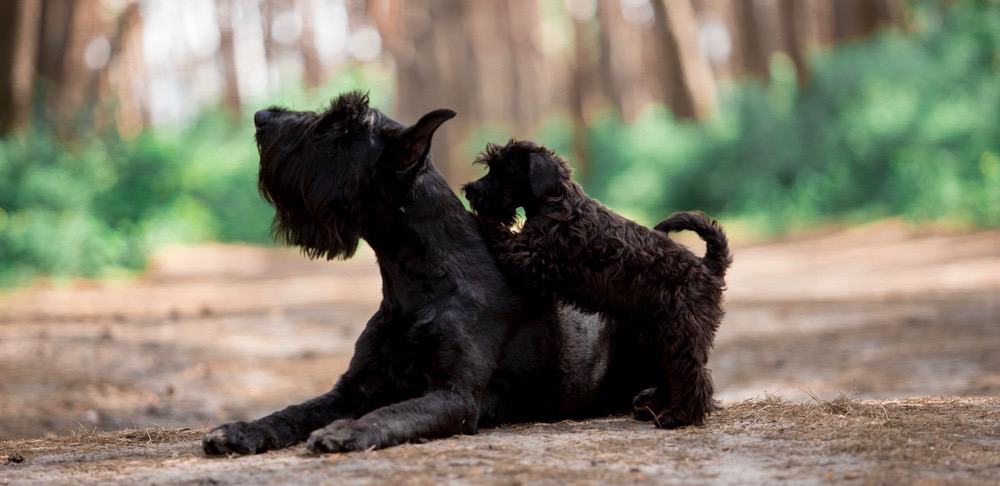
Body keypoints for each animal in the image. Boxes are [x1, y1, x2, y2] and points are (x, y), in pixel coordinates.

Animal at [203, 92, 652, 456]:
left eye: (342, 126)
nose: (261, 116)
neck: (419, 280)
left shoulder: (454, 396)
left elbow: (393, 412)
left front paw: (346, 432)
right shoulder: (353, 388)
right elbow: (295, 411)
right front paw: (241, 430)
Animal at [462, 139, 736, 428]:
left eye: (501, 170)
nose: (469, 191)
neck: (556, 201)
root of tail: (708, 266)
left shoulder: (530, 257)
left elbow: (501, 233)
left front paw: (480, 219)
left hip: (679, 333)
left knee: (692, 376)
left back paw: (679, 416)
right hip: (656, 336)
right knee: (670, 374)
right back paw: (652, 409)